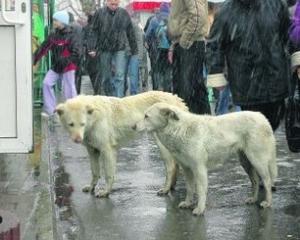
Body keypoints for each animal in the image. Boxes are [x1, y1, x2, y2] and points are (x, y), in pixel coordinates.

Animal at [55, 91, 188, 198]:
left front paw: (105, 191)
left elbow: (108, 174)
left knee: (171, 167)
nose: (77, 139)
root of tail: (177, 99)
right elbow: (95, 172)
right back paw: (171, 186)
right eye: (71, 124)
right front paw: (92, 187)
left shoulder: (107, 150)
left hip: (162, 145)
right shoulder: (92, 150)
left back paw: (165, 189)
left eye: (82, 124)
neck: (94, 118)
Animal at [135, 102, 278, 216]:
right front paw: (187, 203)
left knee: (267, 181)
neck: (178, 129)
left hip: (257, 160)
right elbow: (190, 188)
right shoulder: (187, 169)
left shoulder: (199, 169)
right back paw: (253, 199)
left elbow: (200, 190)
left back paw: (268, 203)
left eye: (146, 116)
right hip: (245, 162)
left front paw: (200, 209)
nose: (133, 127)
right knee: (255, 180)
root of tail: (262, 117)